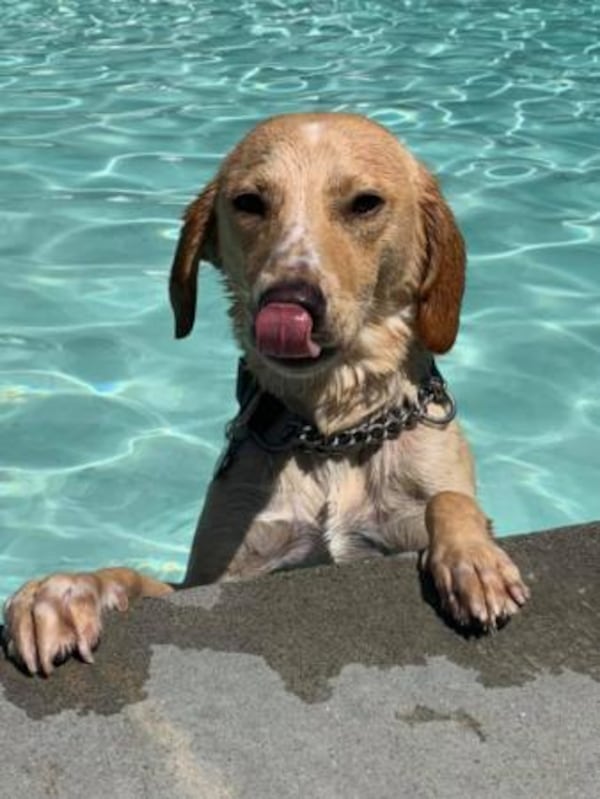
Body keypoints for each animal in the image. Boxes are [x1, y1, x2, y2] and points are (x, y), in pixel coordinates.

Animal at [3, 112, 528, 676]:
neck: (331, 436)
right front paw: (63, 590)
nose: (289, 302)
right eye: (249, 202)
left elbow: (450, 500)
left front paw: (473, 558)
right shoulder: (217, 577)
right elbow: (132, 577)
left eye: (365, 203)